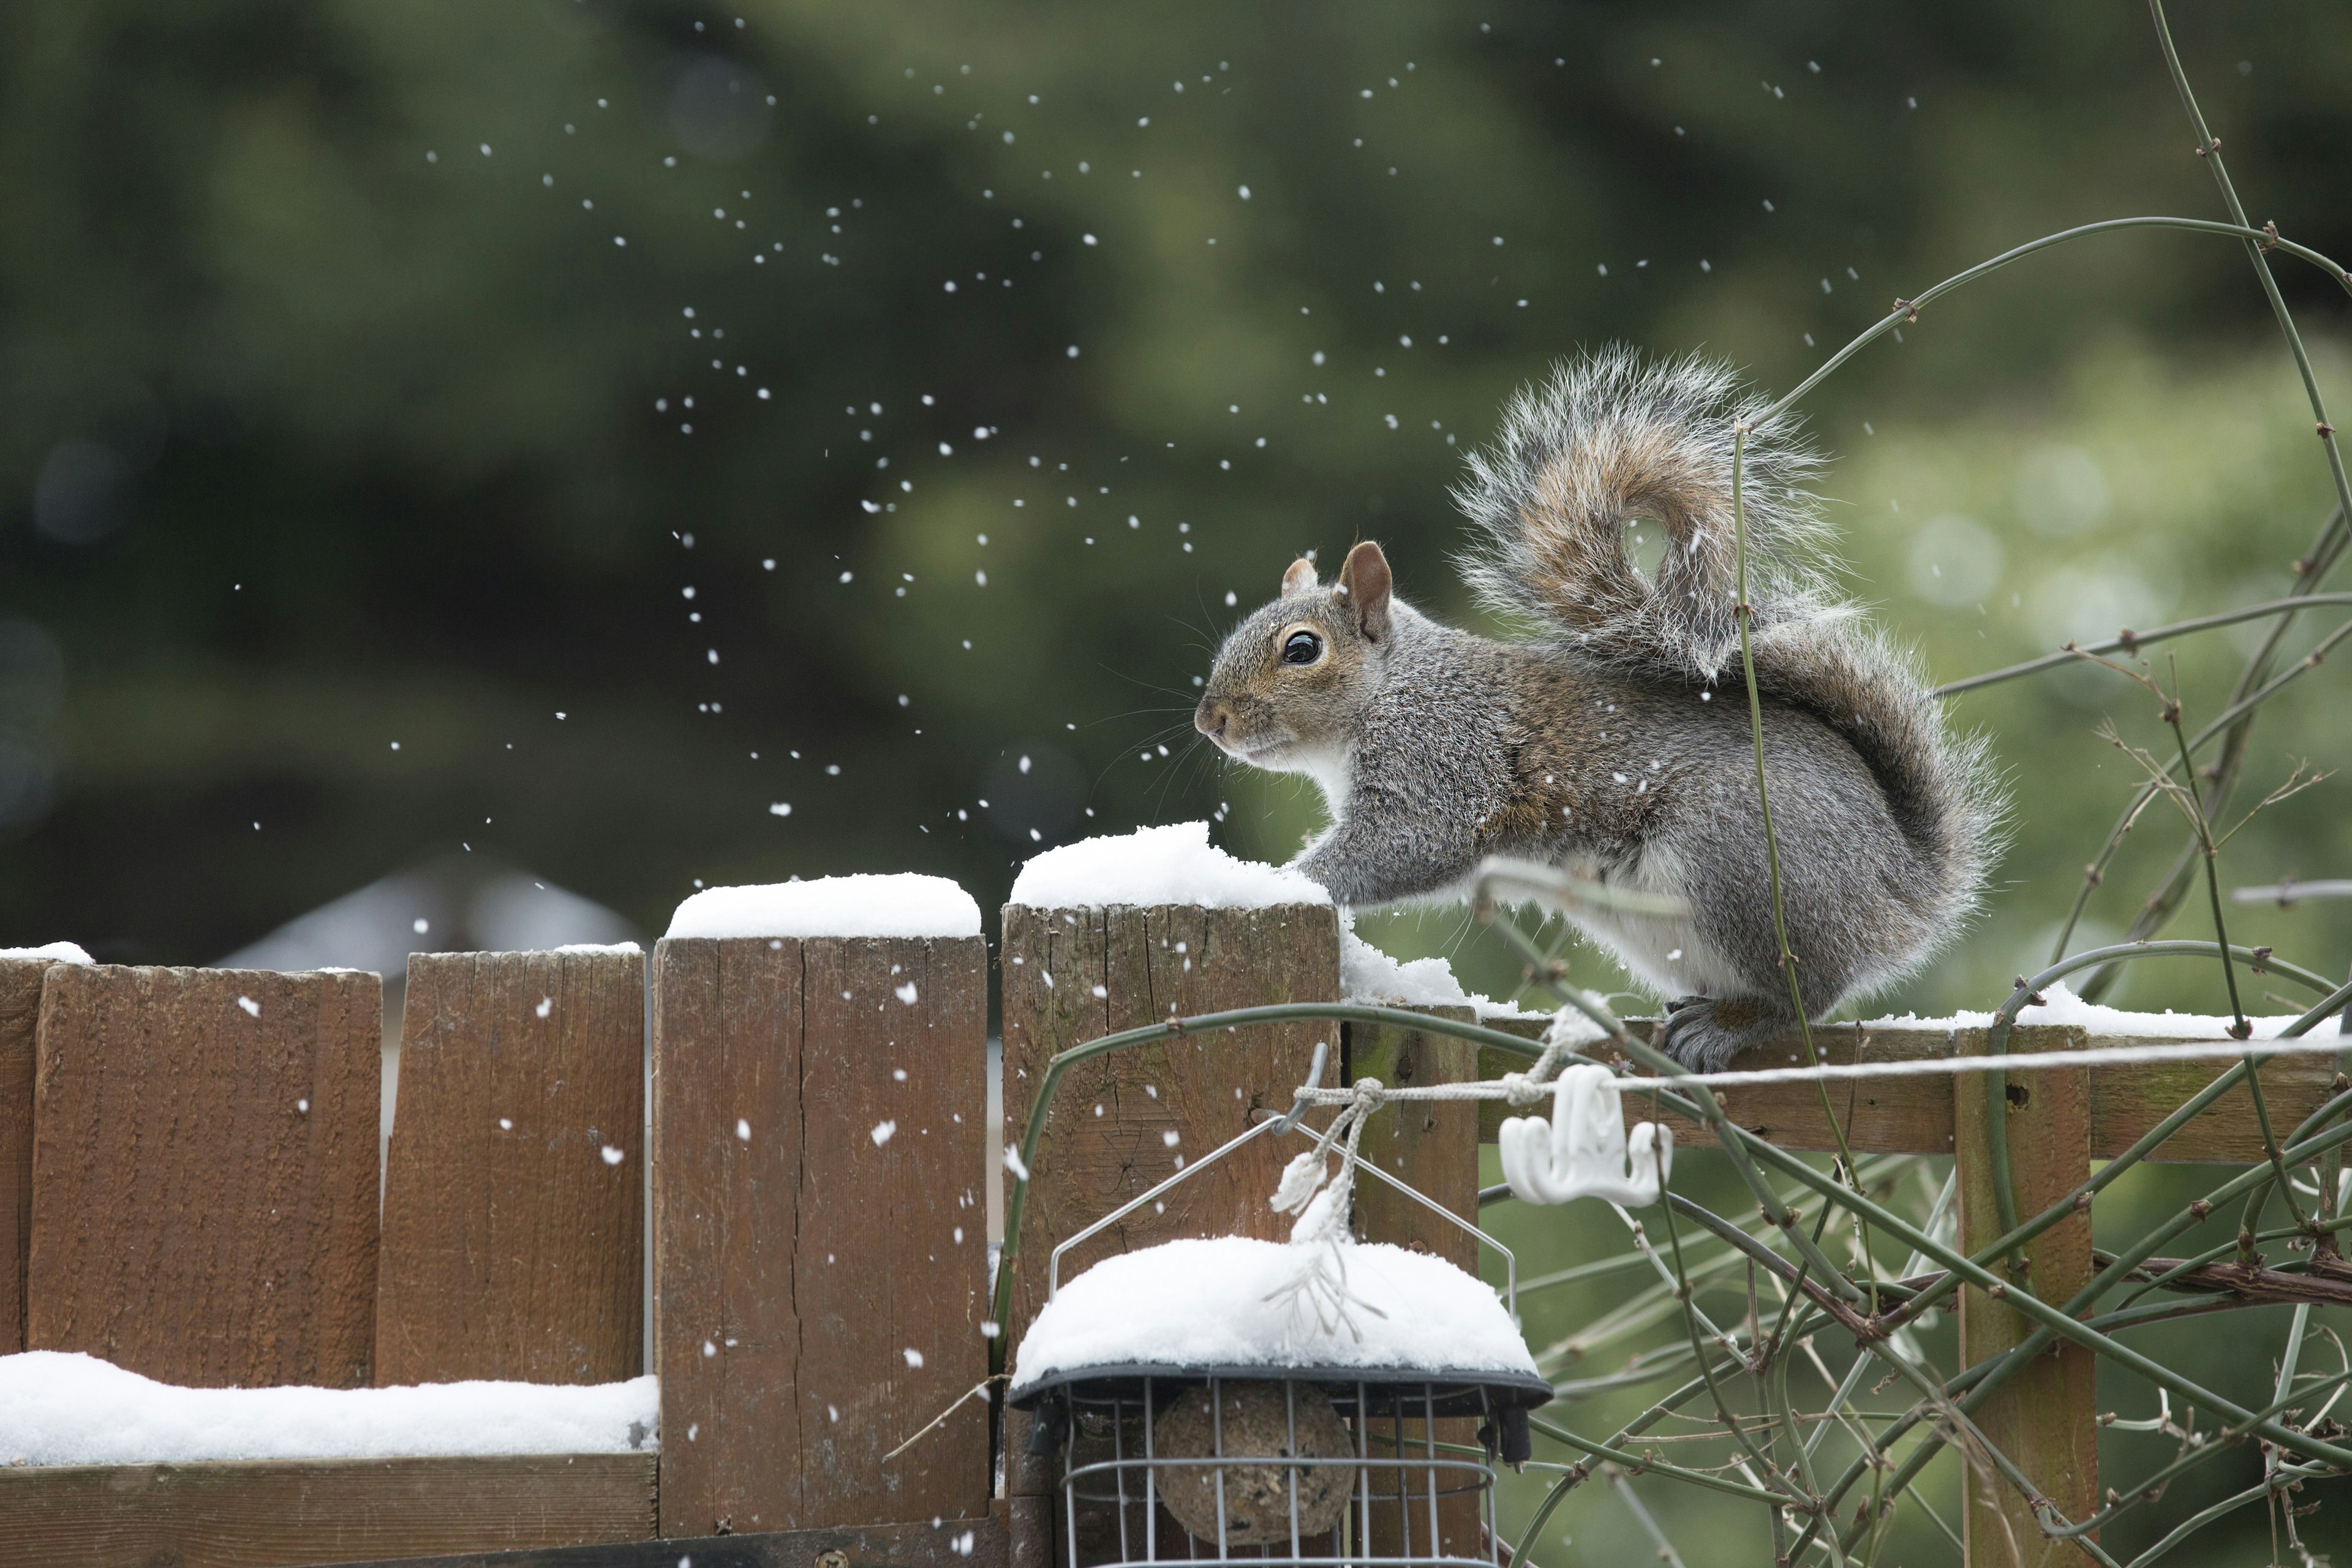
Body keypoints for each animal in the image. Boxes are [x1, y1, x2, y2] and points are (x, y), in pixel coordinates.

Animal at [1194, 350, 2003, 1072]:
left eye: (1303, 649)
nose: (1212, 721)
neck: (1391, 691)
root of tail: (1903, 888)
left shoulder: (1440, 765)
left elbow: (1400, 846)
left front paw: (1284, 882)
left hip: (1736, 858)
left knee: (1809, 994)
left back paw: (1734, 1024)